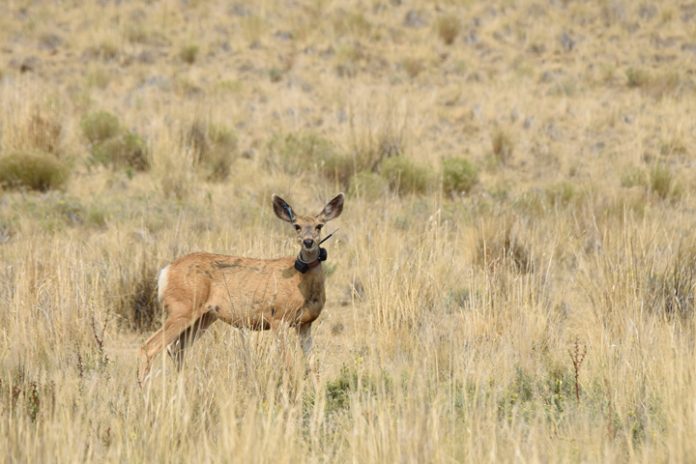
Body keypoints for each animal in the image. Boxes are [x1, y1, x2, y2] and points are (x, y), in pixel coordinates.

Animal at [137, 193, 344, 385]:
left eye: (319, 226)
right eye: (297, 226)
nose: (308, 242)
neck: (301, 284)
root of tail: (166, 271)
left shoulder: (305, 324)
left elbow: (313, 366)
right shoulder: (278, 318)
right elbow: (288, 365)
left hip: (204, 316)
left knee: (177, 348)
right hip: (182, 308)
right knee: (149, 347)